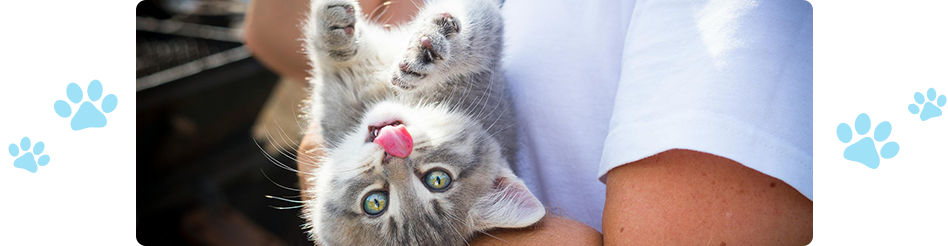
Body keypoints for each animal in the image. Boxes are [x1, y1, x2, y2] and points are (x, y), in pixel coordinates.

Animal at [300, 0, 544, 245]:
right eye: (375, 202)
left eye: (437, 179)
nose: (393, 152)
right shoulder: (340, 104)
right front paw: (333, 31)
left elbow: (483, 25)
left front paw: (434, 43)